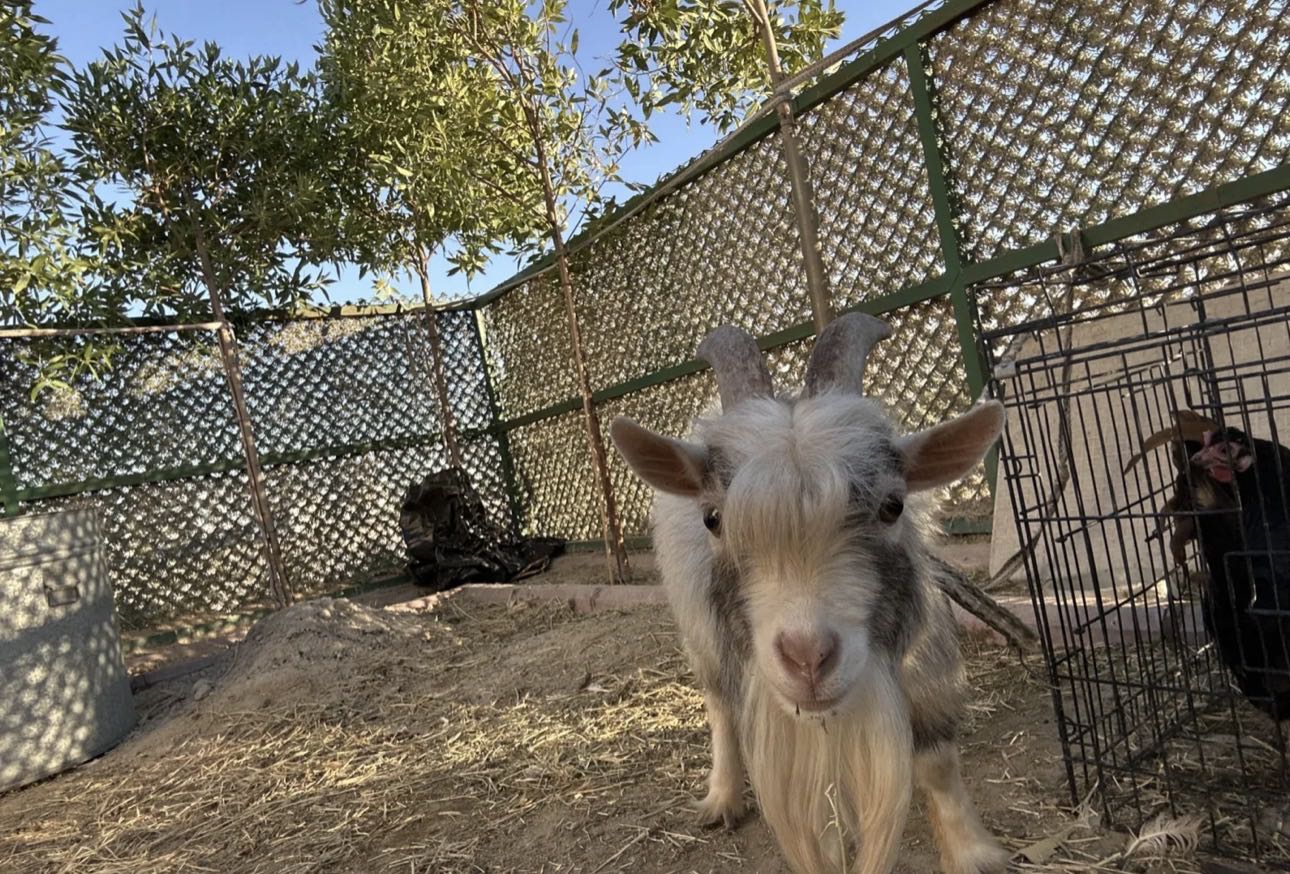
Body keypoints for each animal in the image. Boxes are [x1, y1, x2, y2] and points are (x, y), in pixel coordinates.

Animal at [610, 314, 1009, 874]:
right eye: (713, 518)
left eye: (892, 505)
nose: (808, 657)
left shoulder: (919, 659)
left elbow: (936, 760)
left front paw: (973, 852)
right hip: (702, 634)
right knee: (720, 706)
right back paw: (722, 797)